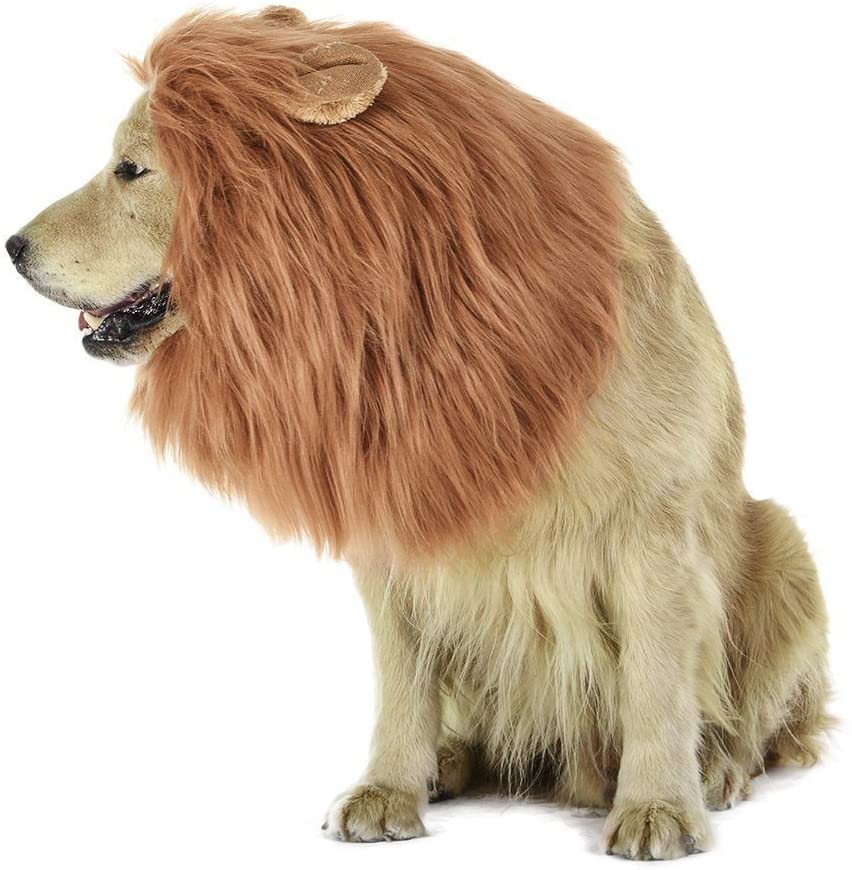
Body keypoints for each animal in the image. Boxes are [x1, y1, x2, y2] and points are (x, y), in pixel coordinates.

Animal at [5, 7, 829, 860]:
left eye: (131, 170)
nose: (13, 246)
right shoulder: (396, 527)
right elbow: (403, 683)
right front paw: (389, 788)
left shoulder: (652, 533)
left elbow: (656, 684)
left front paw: (659, 806)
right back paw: (452, 762)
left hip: (783, 543)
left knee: (760, 723)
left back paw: (718, 770)